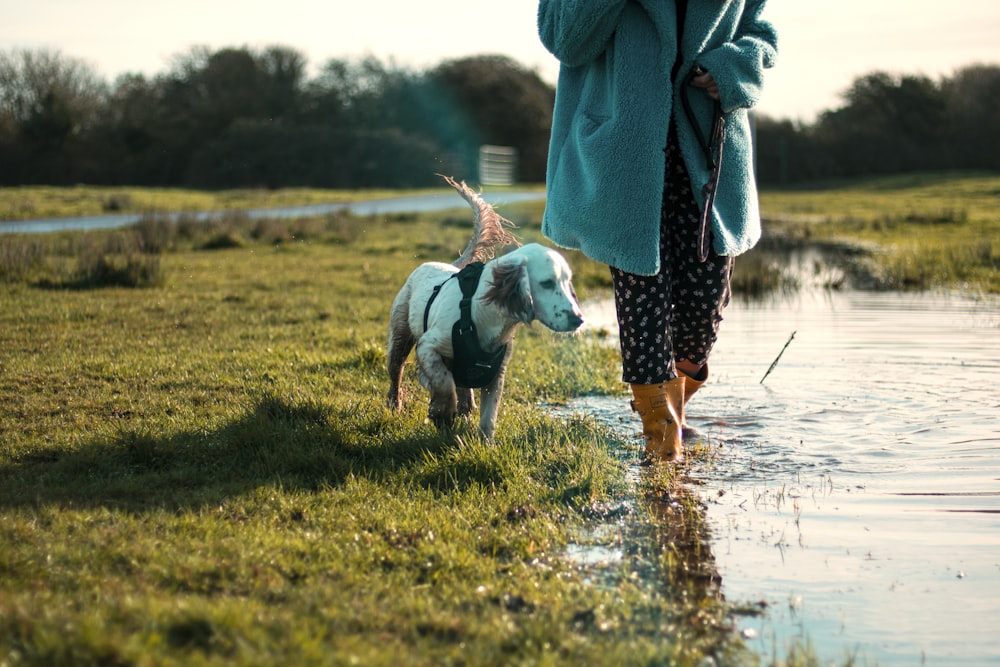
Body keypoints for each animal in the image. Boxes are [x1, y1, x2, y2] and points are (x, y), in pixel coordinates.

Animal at [384, 175, 584, 440]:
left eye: (567, 282)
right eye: (547, 283)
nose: (578, 319)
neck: (483, 316)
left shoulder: (496, 372)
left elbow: (489, 416)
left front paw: (484, 442)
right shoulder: (428, 345)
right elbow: (443, 382)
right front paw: (441, 411)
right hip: (400, 338)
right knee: (397, 374)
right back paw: (395, 405)